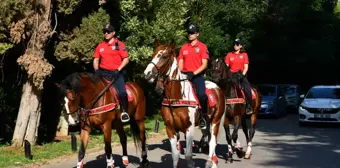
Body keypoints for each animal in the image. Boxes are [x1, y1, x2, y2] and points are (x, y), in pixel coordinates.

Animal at [143, 40, 226, 168]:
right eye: (153, 54)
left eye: (164, 56)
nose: (147, 74)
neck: (176, 98)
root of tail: (217, 88)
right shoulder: (170, 129)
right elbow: (175, 155)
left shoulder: (189, 129)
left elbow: (188, 156)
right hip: (206, 124)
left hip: (215, 121)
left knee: (213, 142)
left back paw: (210, 162)